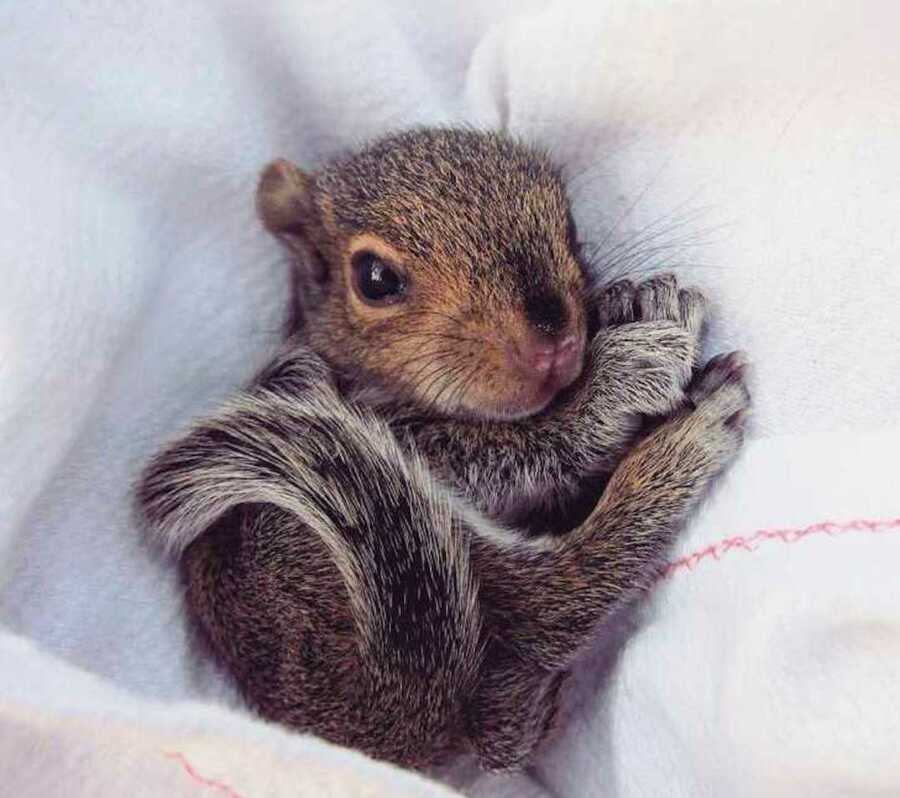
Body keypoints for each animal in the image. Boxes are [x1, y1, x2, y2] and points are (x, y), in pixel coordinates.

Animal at [137, 130, 748, 776]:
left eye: (570, 221)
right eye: (374, 278)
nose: (554, 343)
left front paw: (625, 307)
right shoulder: (387, 427)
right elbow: (523, 448)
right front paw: (615, 377)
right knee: (559, 597)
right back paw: (685, 439)